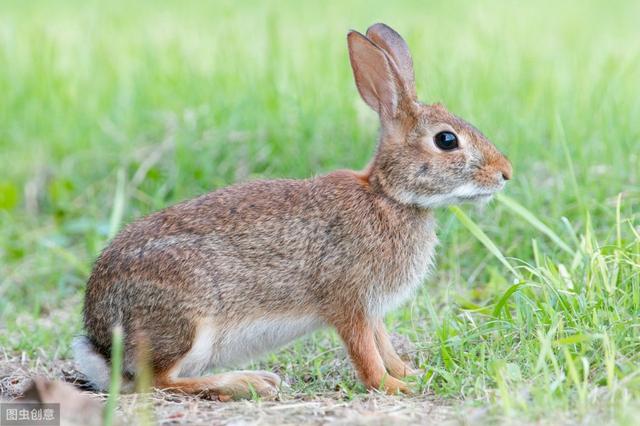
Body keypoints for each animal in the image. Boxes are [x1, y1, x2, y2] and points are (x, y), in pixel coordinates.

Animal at [72, 23, 512, 400]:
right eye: (446, 140)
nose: (505, 173)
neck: (388, 196)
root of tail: (100, 344)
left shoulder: (372, 310)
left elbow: (383, 344)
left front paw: (410, 373)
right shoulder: (348, 301)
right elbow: (365, 353)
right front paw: (394, 387)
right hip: (185, 319)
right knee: (159, 381)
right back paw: (248, 383)